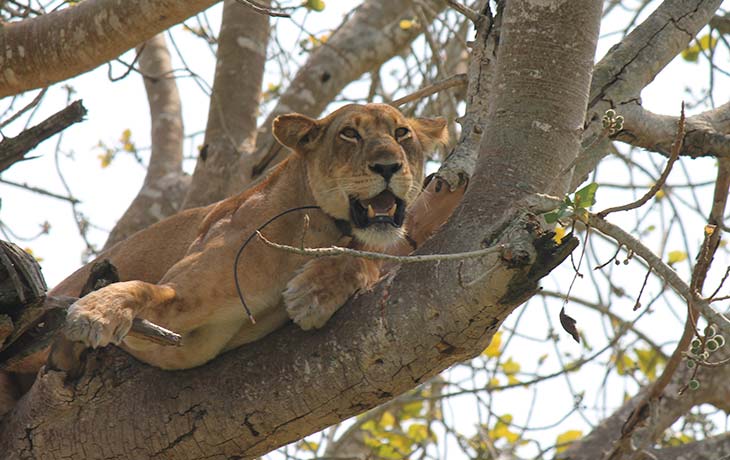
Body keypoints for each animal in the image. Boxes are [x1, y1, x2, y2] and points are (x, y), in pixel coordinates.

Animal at [25, 104, 446, 374]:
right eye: (350, 134)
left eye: (402, 134)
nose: (389, 166)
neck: (317, 229)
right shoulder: (173, 313)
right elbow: (144, 288)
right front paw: (96, 313)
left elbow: (365, 256)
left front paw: (313, 293)